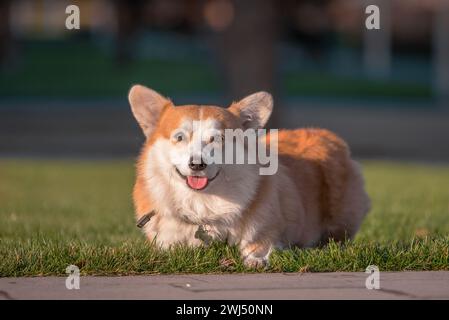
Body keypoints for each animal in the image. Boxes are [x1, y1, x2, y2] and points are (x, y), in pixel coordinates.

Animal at [128, 85, 370, 268]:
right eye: (179, 137)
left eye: (218, 139)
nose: (197, 164)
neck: (202, 202)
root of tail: (326, 134)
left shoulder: (266, 231)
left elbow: (259, 245)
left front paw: (255, 259)